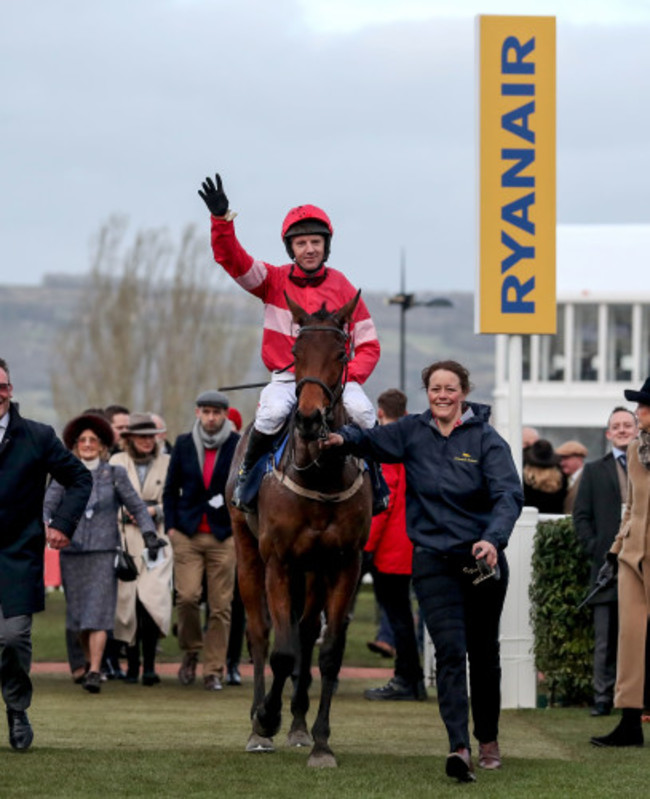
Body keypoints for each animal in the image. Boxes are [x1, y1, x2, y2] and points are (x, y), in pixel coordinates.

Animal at [227, 292, 370, 768]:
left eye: (342, 353)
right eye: (295, 350)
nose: (308, 418)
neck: (320, 474)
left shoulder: (344, 563)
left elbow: (327, 653)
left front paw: (321, 741)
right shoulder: (278, 561)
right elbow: (282, 651)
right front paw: (266, 719)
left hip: (314, 571)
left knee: (306, 633)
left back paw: (299, 724)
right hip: (248, 553)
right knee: (258, 632)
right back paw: (260, 720)